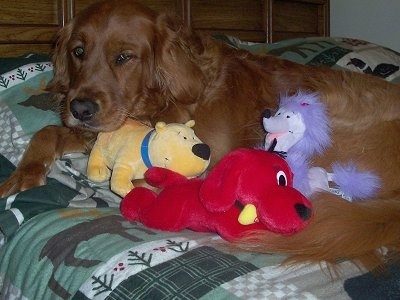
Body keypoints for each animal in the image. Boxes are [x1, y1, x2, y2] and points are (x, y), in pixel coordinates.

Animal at [0, 0, 400, 272]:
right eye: (78, 51)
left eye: (124, 57)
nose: (80, 108)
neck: (161, 101)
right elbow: (48, 132)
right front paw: (22, 175)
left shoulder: (206, 158)